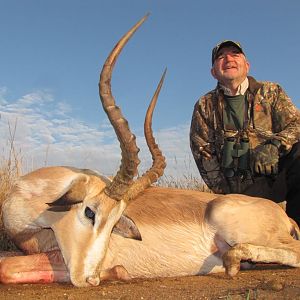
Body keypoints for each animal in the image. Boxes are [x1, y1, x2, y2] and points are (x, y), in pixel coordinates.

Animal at [0, 14, 300, 286]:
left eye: (112, 222)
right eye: (90, 212)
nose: (90, 279)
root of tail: (283, 216)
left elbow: (6, 266)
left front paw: (116, 272)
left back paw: (233, 261)